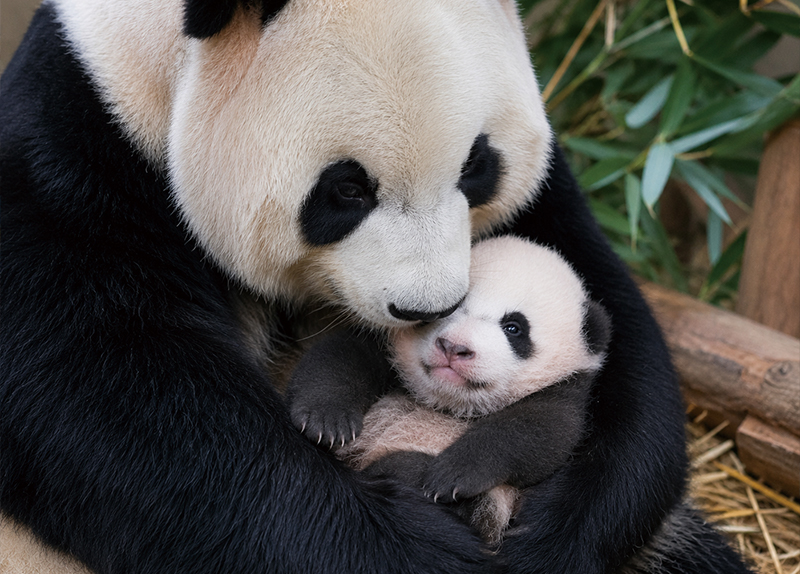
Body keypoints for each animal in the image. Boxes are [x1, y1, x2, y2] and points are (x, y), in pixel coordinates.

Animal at [0, 0, 753, 572]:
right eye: (347, 189)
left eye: (476, 165)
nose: (428, 311)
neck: (151, 74)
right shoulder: (76, 163)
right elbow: (129, 417)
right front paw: (423, 548)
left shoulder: (543, 200)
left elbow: (617, 339)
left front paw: (553, 532)